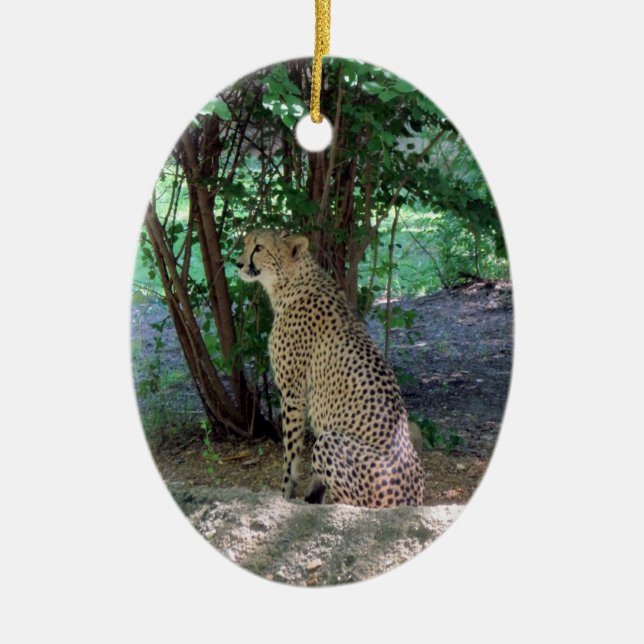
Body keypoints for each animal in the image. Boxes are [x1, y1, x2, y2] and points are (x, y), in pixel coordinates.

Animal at [236, 229, 425, 507]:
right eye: (246, 242)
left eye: (259, 247)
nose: (239, 264)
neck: (291, 282)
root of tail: (412, 500)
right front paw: (311, 493)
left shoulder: (293, 394)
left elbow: (290, 454)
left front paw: (286, 494)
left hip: (331, 441)